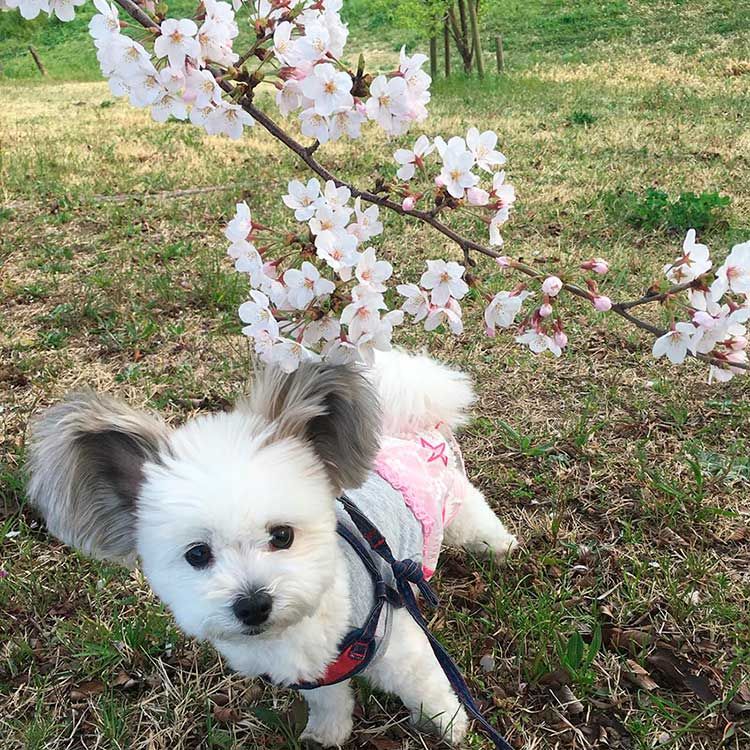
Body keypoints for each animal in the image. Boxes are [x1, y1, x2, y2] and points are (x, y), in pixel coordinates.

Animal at [26, 354, 516, 750]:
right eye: (197, 555)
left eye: (282, 535)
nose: (252, 604)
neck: (298, 629)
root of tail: (403, 421)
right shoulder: (315, 674)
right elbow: (329, 702)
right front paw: (328, 733)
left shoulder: (398, 645)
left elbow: (428, 688)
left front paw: (449, 726)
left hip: (456, 505)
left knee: (477, 521)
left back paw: (499, 547)